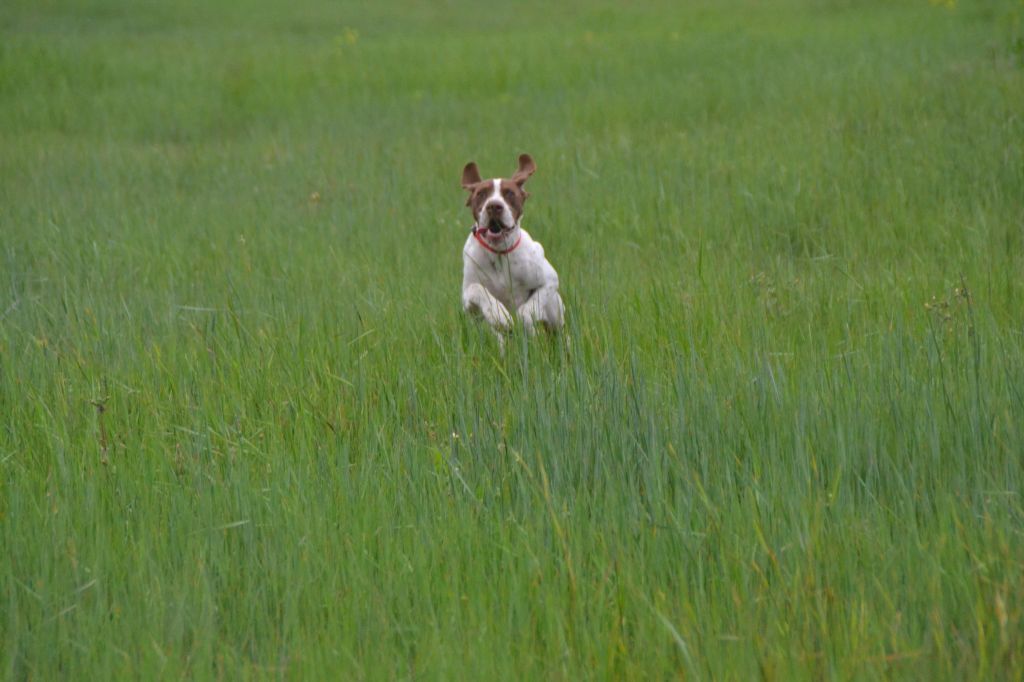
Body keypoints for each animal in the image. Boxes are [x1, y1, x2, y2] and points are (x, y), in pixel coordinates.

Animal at [460, 150, 565, 337]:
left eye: (509, 193)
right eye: (481, 194)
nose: (494, 206)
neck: (499, 254)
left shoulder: (550, 279)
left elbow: (527, 310)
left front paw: (525, 323)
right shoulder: (467, 301)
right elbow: (477, 290)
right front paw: (498, 314)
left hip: (556, 319)